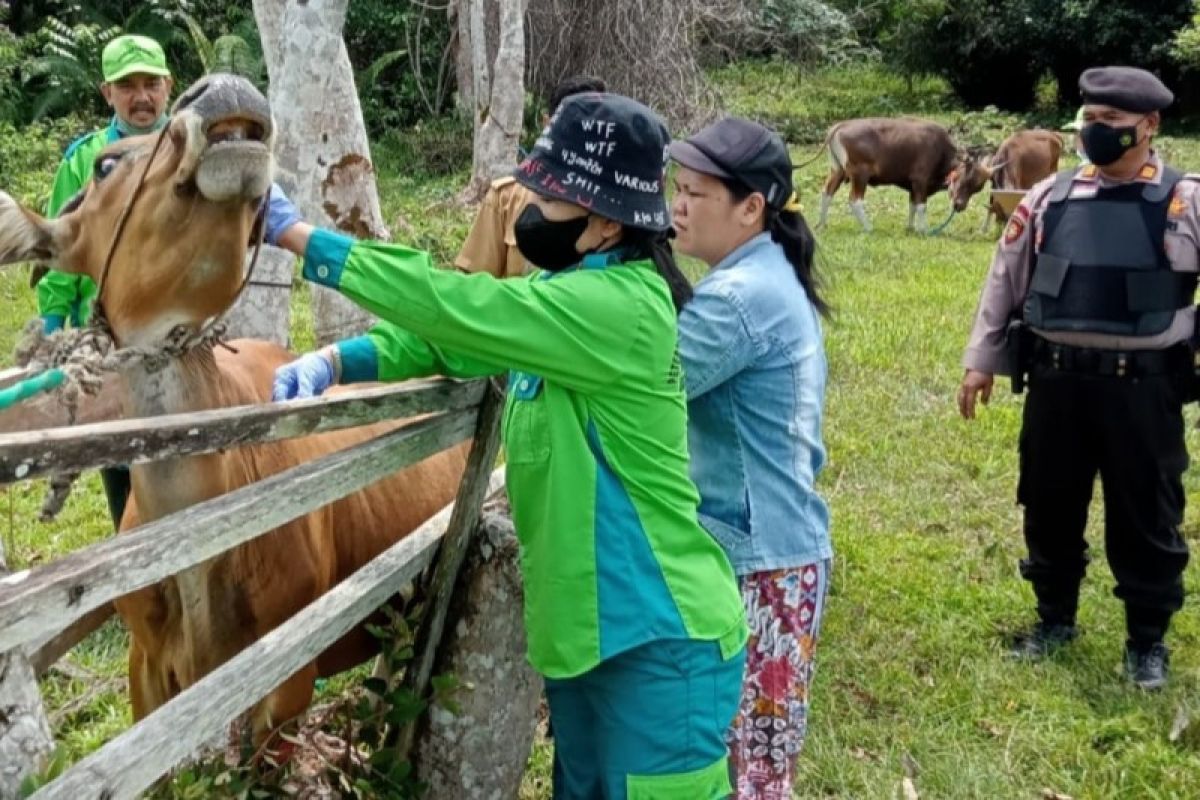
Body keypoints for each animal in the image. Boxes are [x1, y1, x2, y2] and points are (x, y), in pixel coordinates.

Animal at [811, 117, 960, 232]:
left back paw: (822, 224)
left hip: (837, 170)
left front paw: (911, 227)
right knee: (855, 200)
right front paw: (924, 229)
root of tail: (841, 125)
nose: (959, 205)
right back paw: (868, 227)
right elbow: (921, 206)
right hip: (860, 175)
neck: (942, 150)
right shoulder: (920, 181)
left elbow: (913, 204)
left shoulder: (913, 186)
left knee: (827, 192)